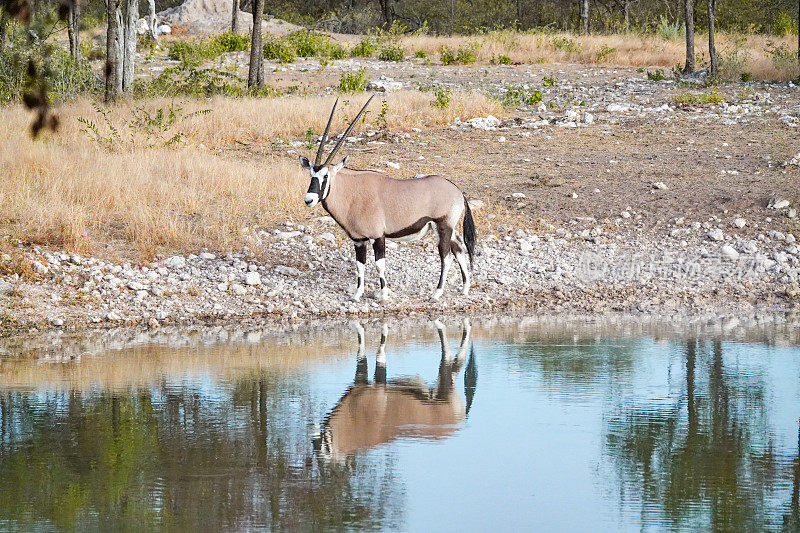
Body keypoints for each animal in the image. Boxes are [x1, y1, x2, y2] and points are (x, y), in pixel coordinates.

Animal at [300, 95, 476, 302]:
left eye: (326, 176)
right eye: (311, 174)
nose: (309, 199)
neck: (352, 192)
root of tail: (458, 191)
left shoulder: (378, 236)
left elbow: (379, 264)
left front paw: (383, 294)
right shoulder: (358, 240)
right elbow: (360, 265)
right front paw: (357, 295)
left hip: (443, 226)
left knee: (446, 256)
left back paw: (437, 292)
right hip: (446, 228)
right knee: (459, 250)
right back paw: (465, 288)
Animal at [310, 320, 476, 462]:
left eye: (323, 445)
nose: (314, 427)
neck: (353, 420)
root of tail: (459, 419)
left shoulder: (378, 388)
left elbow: (379, 352)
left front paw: (383, 329)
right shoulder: (360, 381)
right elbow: (361, 350)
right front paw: (359, 327)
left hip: (444, 390)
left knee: (448, 356)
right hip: (441, 388)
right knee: (456, 362)